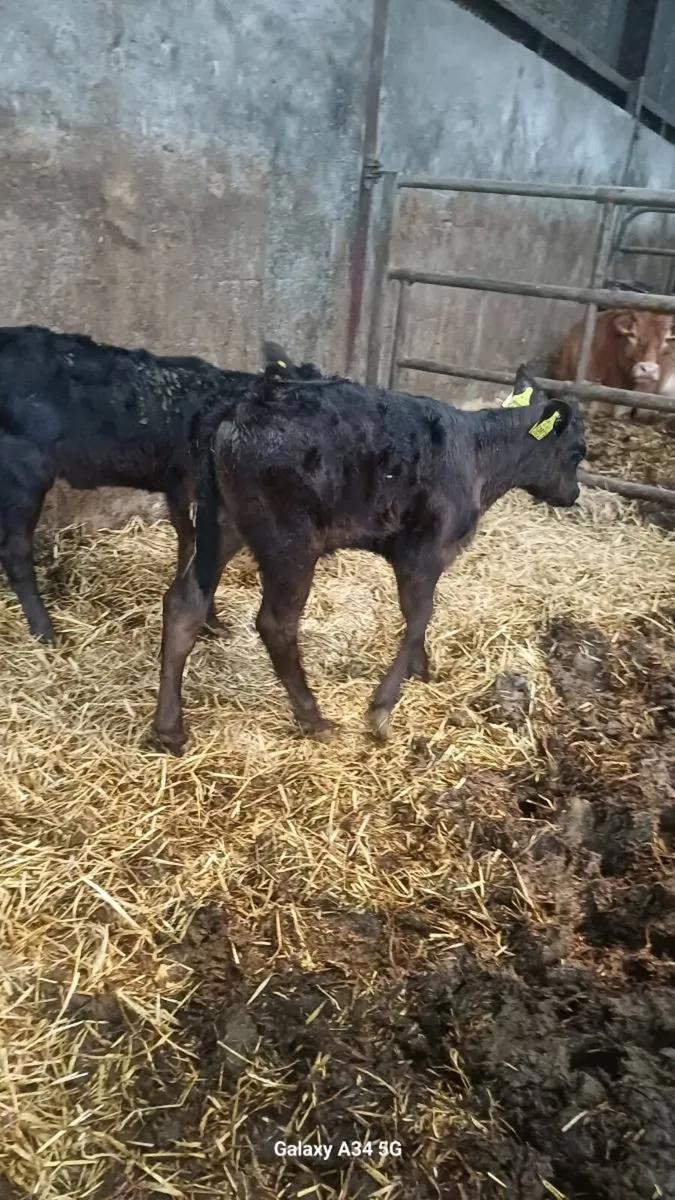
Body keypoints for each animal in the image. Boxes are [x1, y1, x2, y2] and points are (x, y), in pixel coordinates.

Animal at [0, 325, 288, 644]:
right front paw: (210, 621)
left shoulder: (179, 490)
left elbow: (188, 544)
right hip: (23, 474)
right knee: (15, 550)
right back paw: (46, 633)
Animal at [150, 359, 586, 755]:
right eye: (577, 453)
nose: (574, 495)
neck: (478, 458)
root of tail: (240, 408)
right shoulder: (422, 552)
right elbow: (419, 616)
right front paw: (383, 705)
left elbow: (420, 619)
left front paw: (421, 669)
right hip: (291, 542)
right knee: (275, 624)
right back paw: (312, 716)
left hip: (222, 523)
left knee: (184, 603)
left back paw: (169, 728)